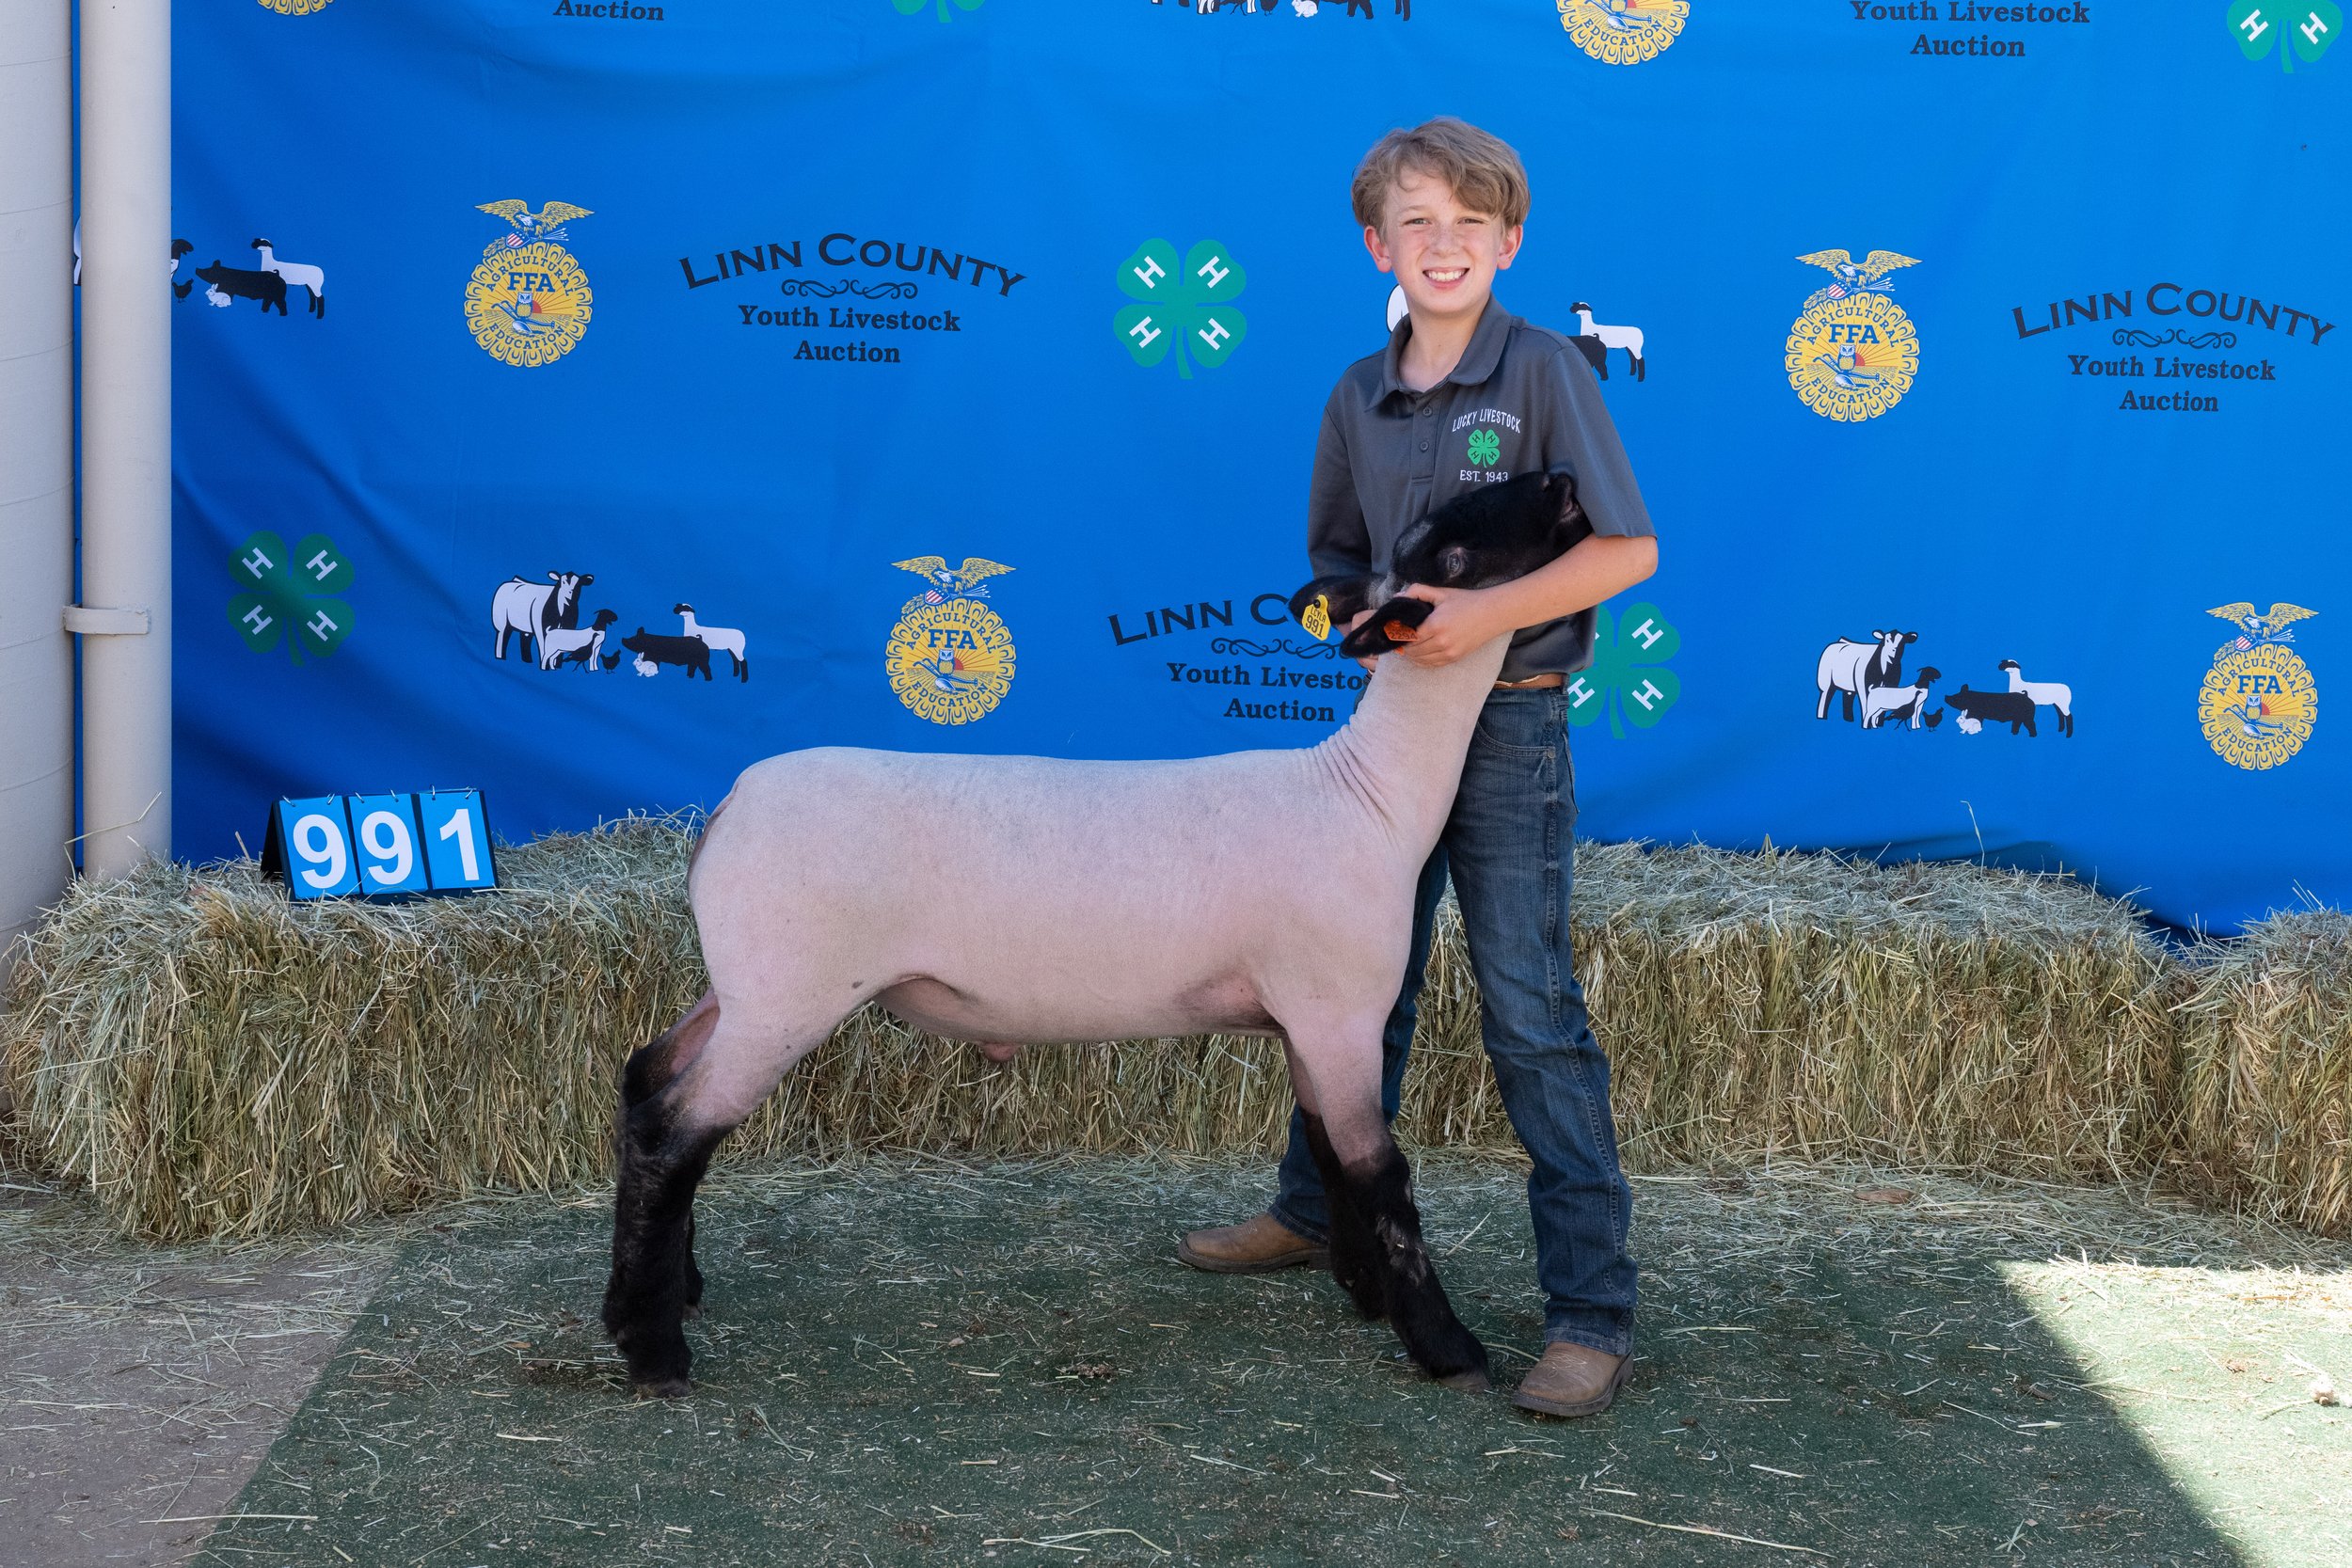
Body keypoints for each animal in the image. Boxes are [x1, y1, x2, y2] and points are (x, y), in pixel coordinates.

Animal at [602, 467, 1594, 1399]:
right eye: (1452, 553)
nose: (1562, 482)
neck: (1368, 791)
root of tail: (729, 806)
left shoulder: (1311, 1022)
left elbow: (1330, 1151)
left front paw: (1368, 1291)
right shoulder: (1338, 1010)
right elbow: (1380, 1171)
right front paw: (1448, 1346)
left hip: (745, 985)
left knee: (646, 1073)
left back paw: (653, 1294)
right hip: (787, 995)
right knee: (671, 1133)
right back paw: (654, 1349)